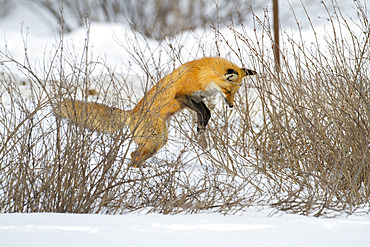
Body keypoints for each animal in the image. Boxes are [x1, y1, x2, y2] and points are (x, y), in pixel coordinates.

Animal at [56, 57, 258, 167]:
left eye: (235, 92)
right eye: (228, 91)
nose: (231, 106)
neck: (203, 74)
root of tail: (131, 114)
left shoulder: (197, 98)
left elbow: (206, 112)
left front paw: (201, 130)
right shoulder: (182, 95)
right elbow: (204, 112)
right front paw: (201, 131)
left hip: (157, 141)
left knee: (133, 154)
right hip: (157, 139)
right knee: (134, 156)